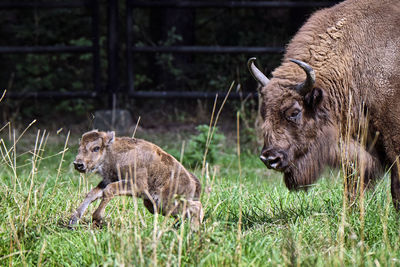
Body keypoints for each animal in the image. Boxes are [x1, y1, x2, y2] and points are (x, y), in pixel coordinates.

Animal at [68, 131, 203, 229]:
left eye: (96, 148)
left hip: (166, 202)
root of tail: (193, 182)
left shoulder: (138, 185)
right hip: (153, 205)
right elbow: (92, 194)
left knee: (197, 207)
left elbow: (110, 190)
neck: (114, 152)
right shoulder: (109, 180)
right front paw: (73, 220)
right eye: (79, 147)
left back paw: (194, 229)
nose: (78, 164)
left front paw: (97, 217)